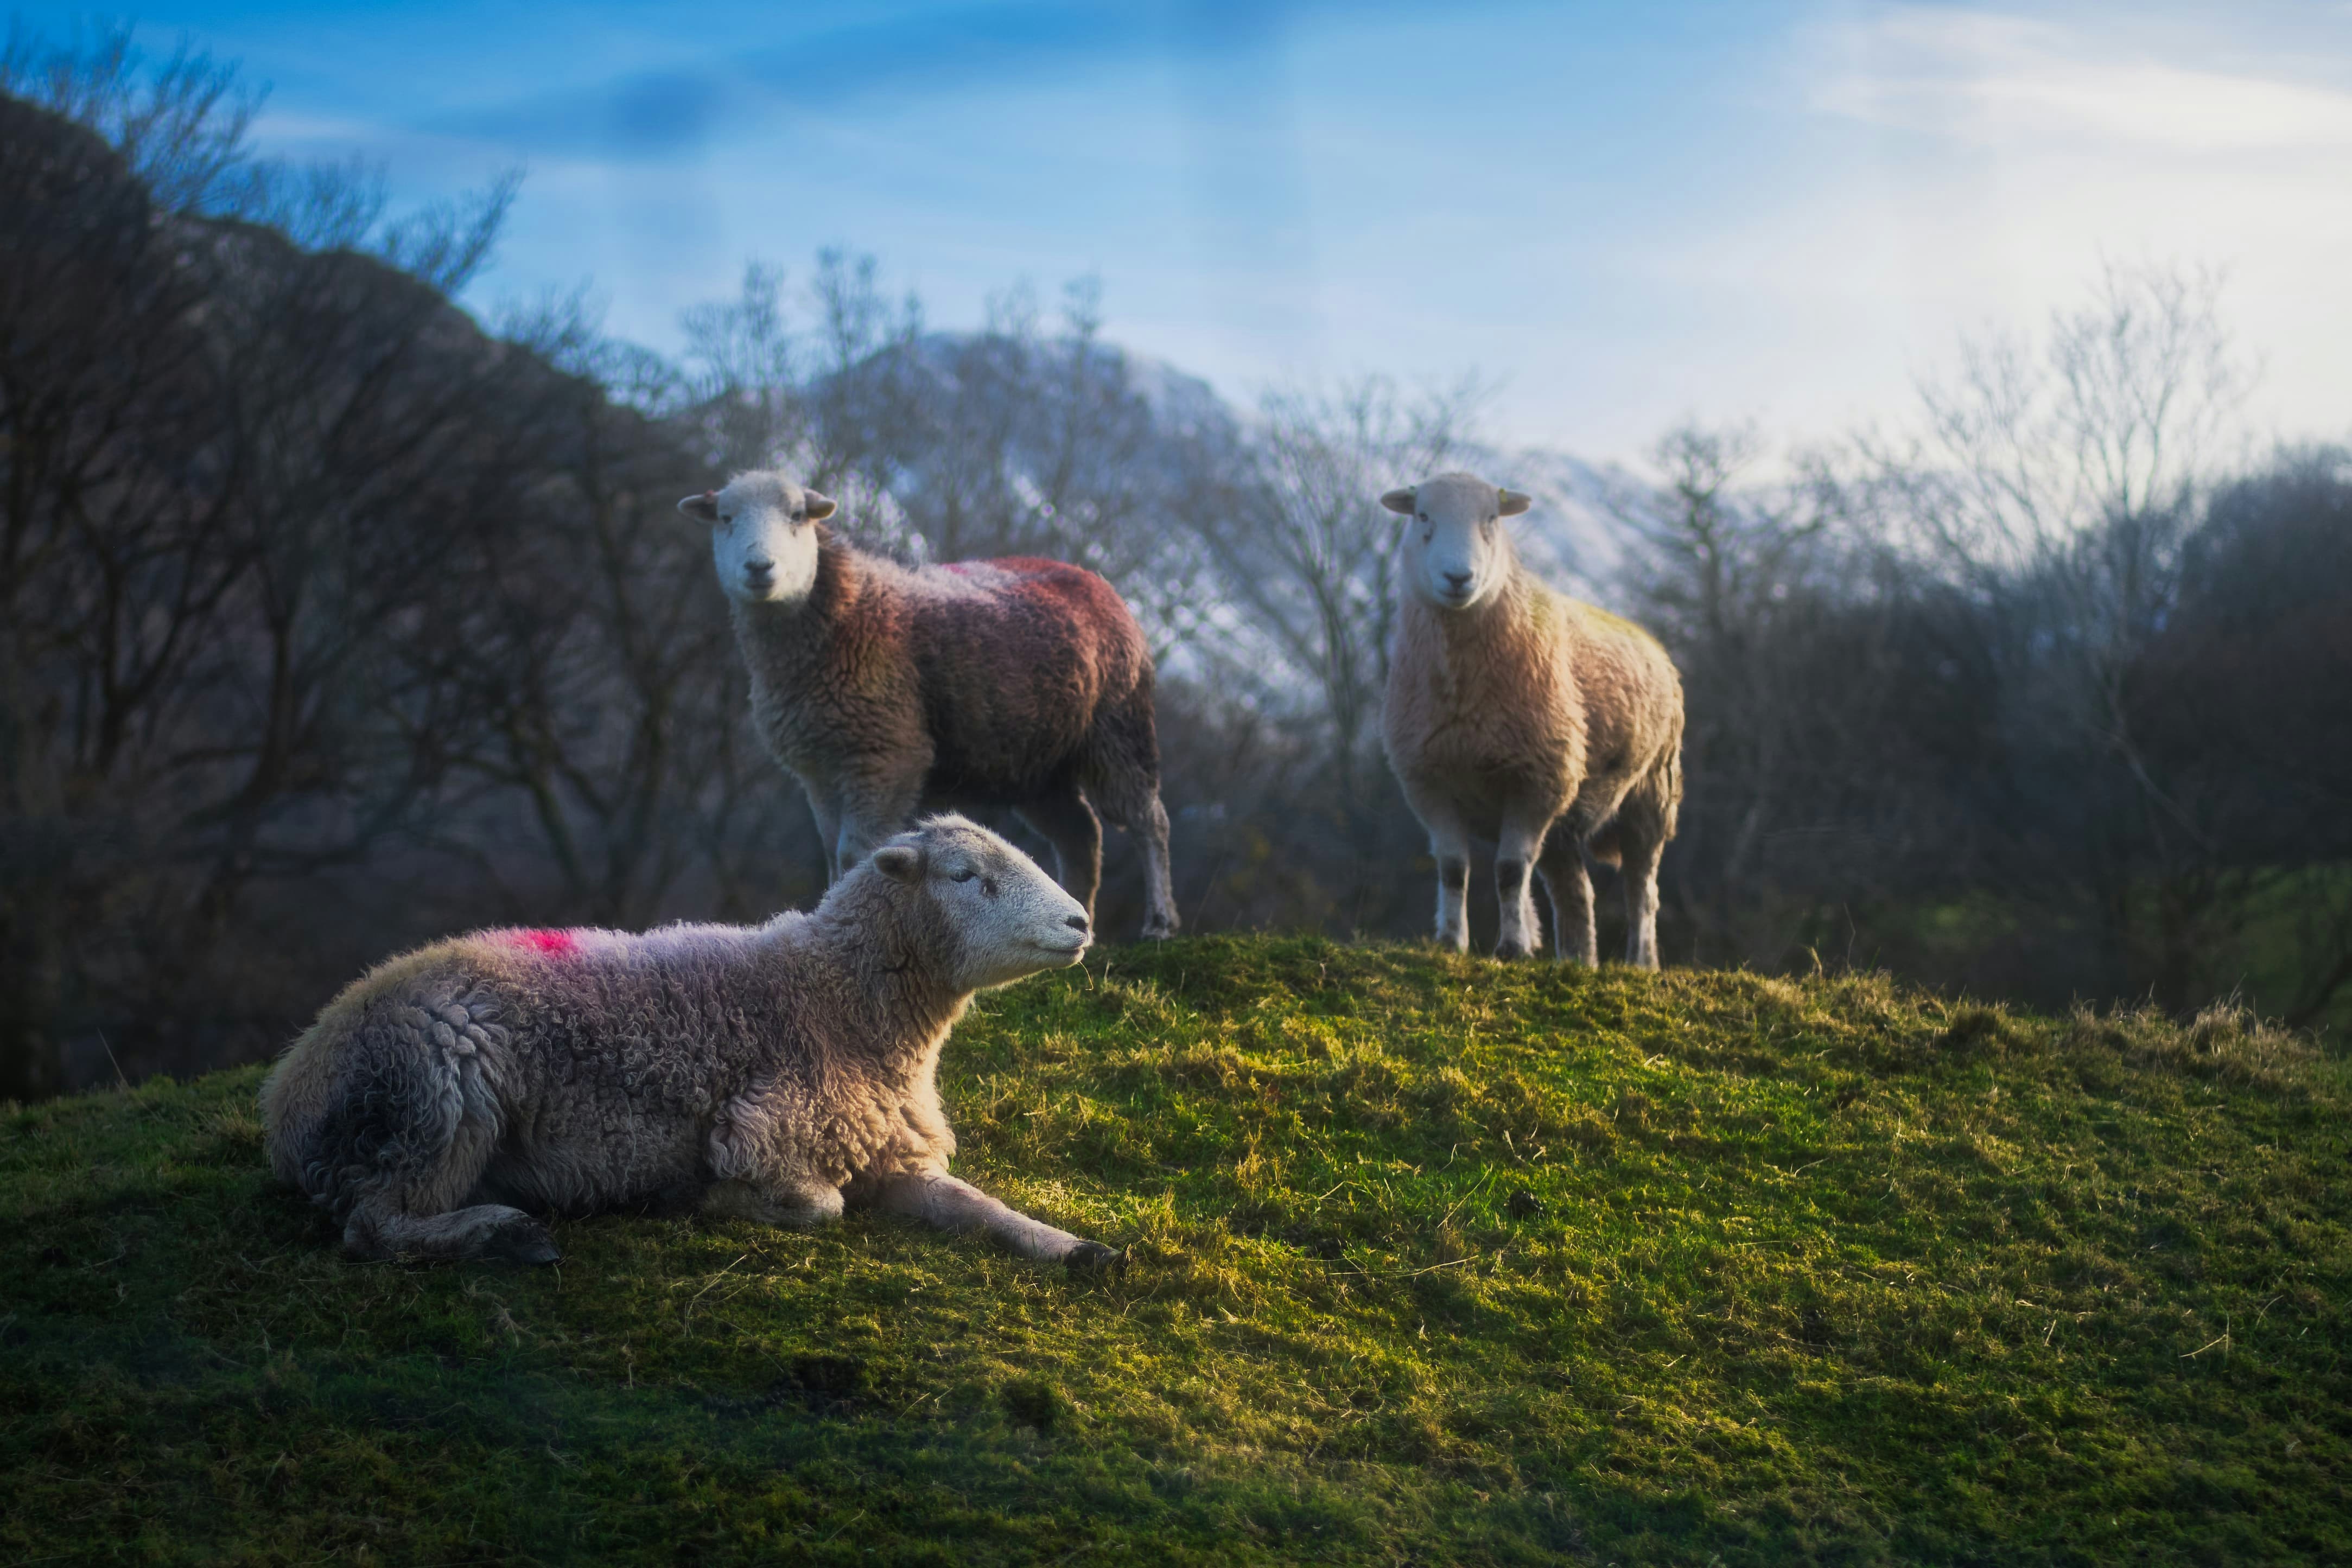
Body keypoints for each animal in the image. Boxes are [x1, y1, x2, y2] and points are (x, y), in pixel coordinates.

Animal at [260, 815, 1120, 1268]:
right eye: (963, 874)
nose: (1081, 920)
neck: (836, 998)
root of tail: (288, 1088)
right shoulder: (763, 1131)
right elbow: (823, 1207)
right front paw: (712, 1201)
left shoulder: (892, 1154)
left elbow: (978, 1206)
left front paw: (1079, 1247)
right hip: (436, 1097)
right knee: (374, 1226)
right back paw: (499, 1231)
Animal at [680, 470, 1179, 941]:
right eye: (725, 518)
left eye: (798, 516)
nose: (759, 567)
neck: (846, 612)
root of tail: (1092, 579)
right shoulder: (818, 768)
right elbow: (830, 852)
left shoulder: (887, 754)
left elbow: (855, 851)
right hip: (1035, 765)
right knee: (1081, 834)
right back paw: (1086, 928)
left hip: (1118, 730)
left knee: (1148, 820)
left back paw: (1160, 922)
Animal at [1378, 471, 1684, 966]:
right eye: (1423, 516)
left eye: (1491, 519)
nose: (1458, 577)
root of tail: (1653, 643)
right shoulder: (1429, 782)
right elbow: (1453, 869)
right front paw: (1451, 943)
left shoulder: (1535, 782)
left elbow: (1509, 870)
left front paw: (1514, 948)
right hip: (1566, 817)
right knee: (1576, 893)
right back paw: (1578, 961)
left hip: (1649, 794)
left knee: (1643, 891)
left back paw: (1640, 963)